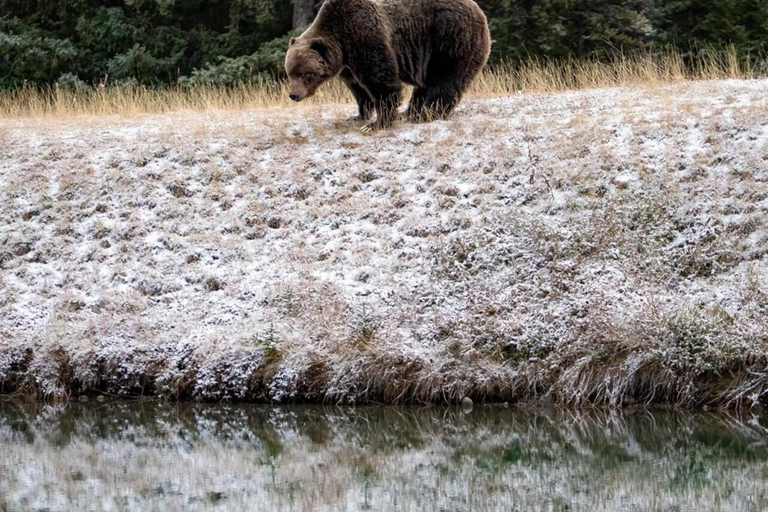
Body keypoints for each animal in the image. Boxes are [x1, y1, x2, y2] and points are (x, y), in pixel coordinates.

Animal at [284, 0, 492, 130]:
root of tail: (479, 11)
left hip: (450, 39)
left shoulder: (365, 36)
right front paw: (358, 116)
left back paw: (426, 114)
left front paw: (377, 122)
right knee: (426, 84)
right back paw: (412, 112)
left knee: (444, 80)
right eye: (290, 73)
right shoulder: (348, 66)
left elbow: (380, 79)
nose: (294, 95)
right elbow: (359, 90)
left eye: (306, 74)